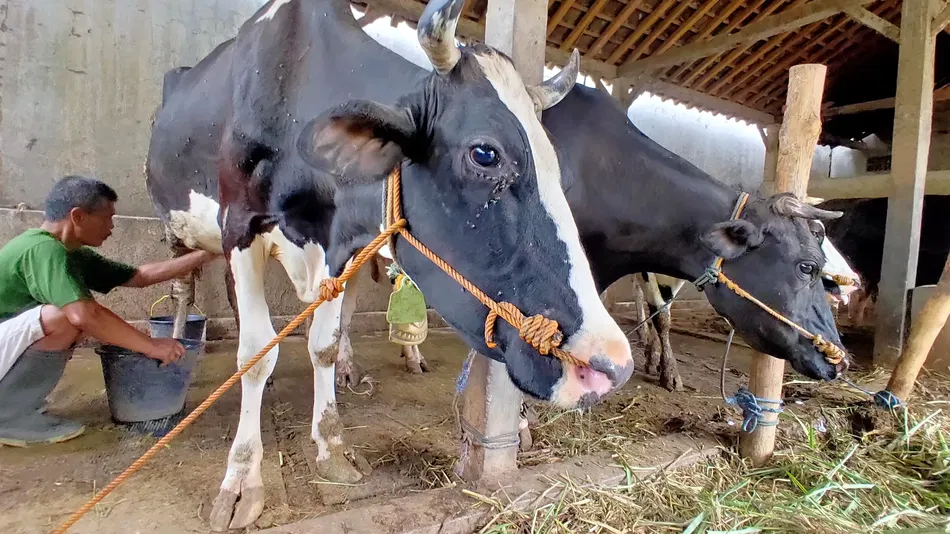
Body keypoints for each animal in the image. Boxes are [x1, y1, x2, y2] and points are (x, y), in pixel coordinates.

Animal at [143, 1, 632, 532]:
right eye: (485, 154)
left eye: (555, 163)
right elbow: (255, 353)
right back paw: (171, 351)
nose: (610, 364)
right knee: (184, 290)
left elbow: (323, 345)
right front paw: (241, 481)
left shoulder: (335, 246)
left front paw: (333, 448)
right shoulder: (240, 226)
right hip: (177, 228)